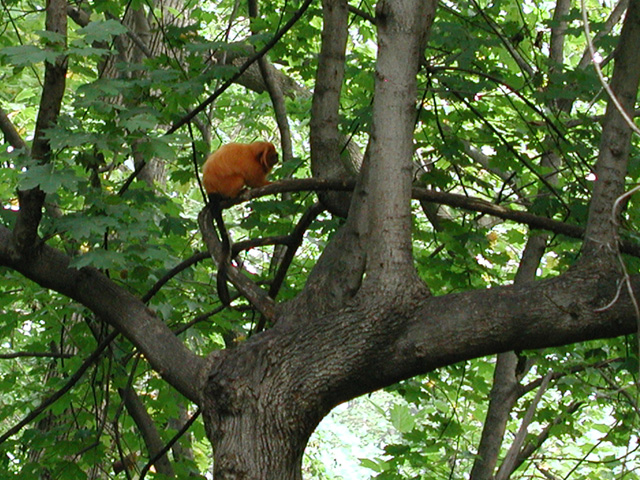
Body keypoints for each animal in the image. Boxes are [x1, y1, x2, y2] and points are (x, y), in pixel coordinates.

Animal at [201, 142, 278, 306]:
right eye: (272, 154)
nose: (277, 156)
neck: (253, 154)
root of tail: (211, 191)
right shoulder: (251, 166)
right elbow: (254, 182)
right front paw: (272, 184)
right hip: (228, 184)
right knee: (239, 179)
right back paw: (236, 193)